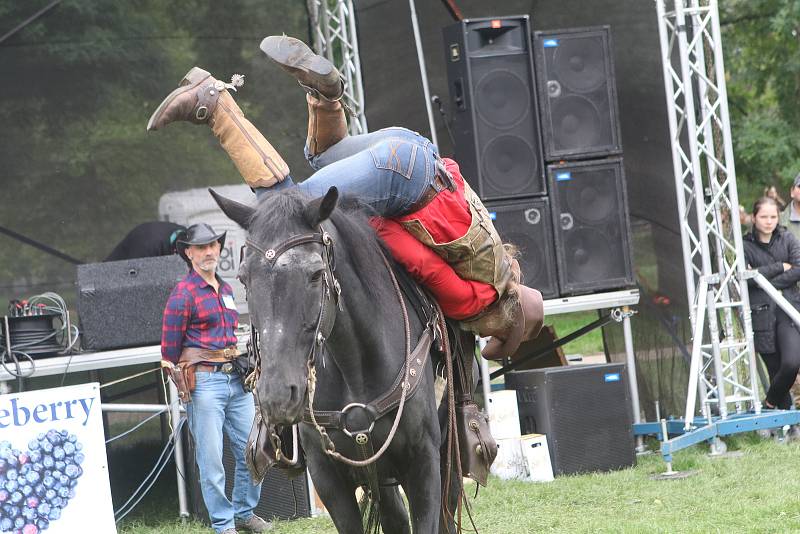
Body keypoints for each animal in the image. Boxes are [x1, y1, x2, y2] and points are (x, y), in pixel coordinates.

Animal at [212, 186, 462, 532]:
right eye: (244, 278)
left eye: (316, 274)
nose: (277, 396)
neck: (355, 369)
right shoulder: (328, 478)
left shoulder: (423, 464)